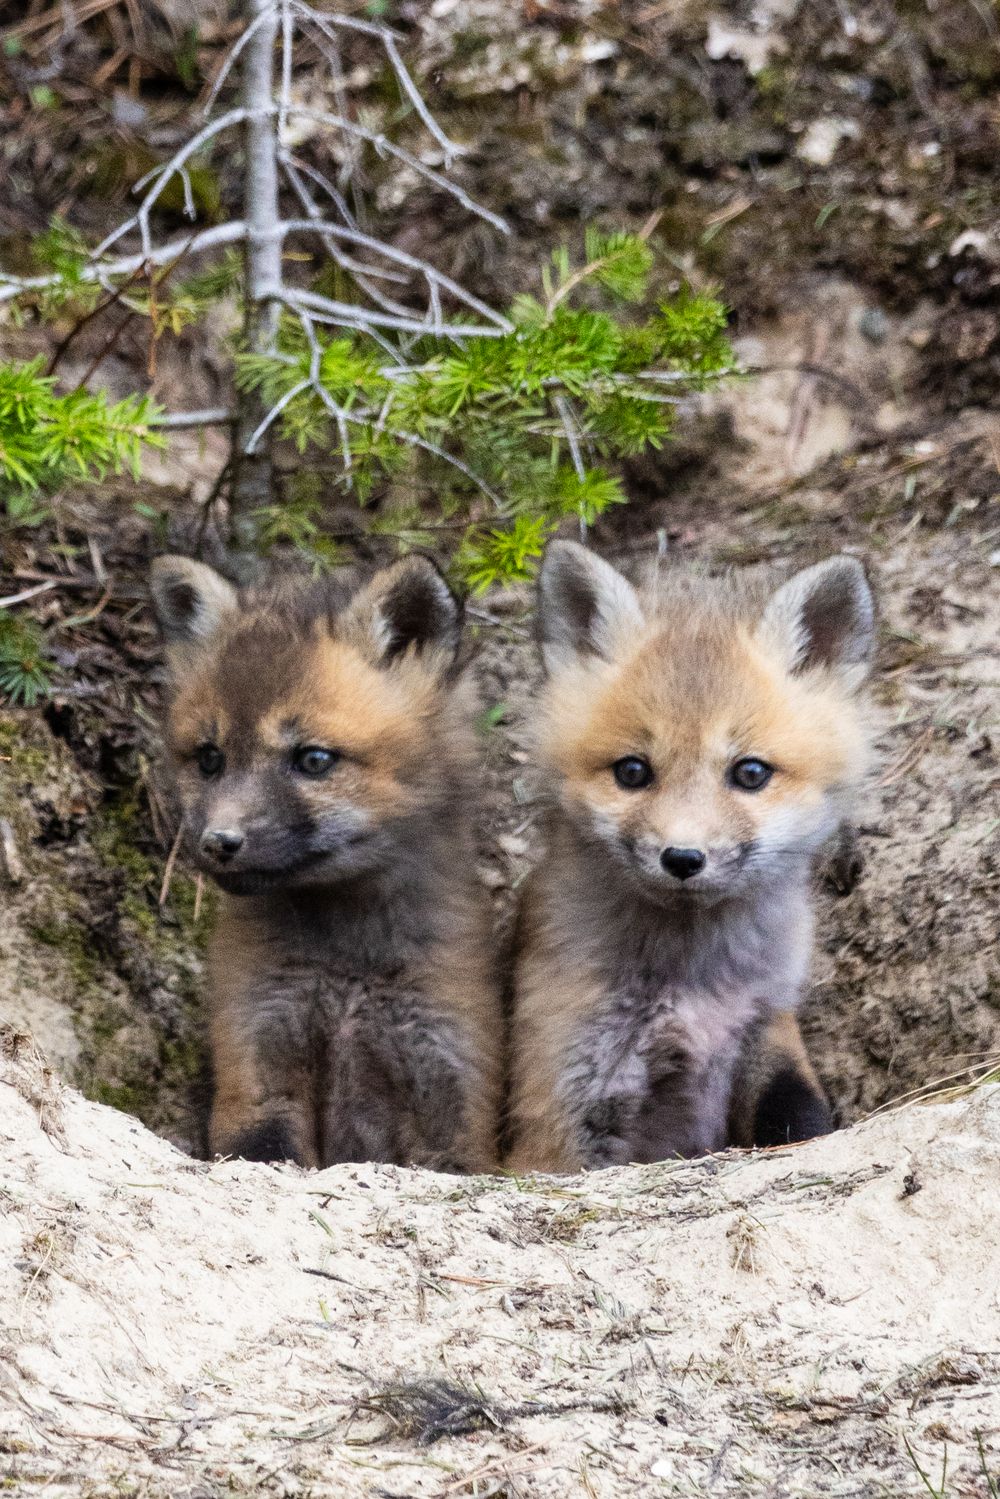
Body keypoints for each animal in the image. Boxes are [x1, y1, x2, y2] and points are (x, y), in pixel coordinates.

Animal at [149, 553, 502, 1171]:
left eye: (313, 759)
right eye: (210, 759)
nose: (219, 841)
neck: (347, 969)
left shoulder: (451, 1085)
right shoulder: (257, 1062)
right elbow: (266, 1152)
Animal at [506, 540, 875, 1171]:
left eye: (750, 773)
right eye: (633, 771)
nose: (682, 858)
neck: (693, 988)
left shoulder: (763, 1028)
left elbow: (802, 1118)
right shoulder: (565, 1102)